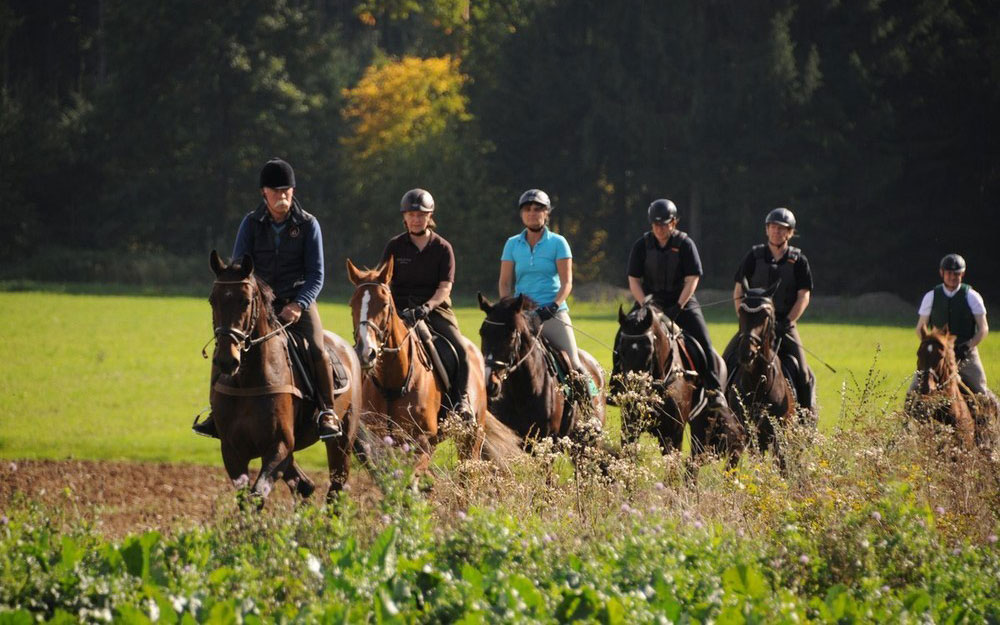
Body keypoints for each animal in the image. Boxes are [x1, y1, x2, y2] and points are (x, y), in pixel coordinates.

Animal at [208, 251, 364, 504]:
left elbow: (257, 494)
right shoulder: (232, 451)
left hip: (342, 442)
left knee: (335, 490)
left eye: (245, 301)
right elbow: (245, 499)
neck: (248, 382)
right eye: (213, 300)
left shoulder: (278, 447)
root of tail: (348, 349)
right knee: (305, 485)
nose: (226, 360)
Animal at [728, 280, 796, 460]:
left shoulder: (778, 438)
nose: (747, 353)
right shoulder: (748, 435)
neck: (757, 381)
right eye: (741, 312)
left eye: (765, 314)